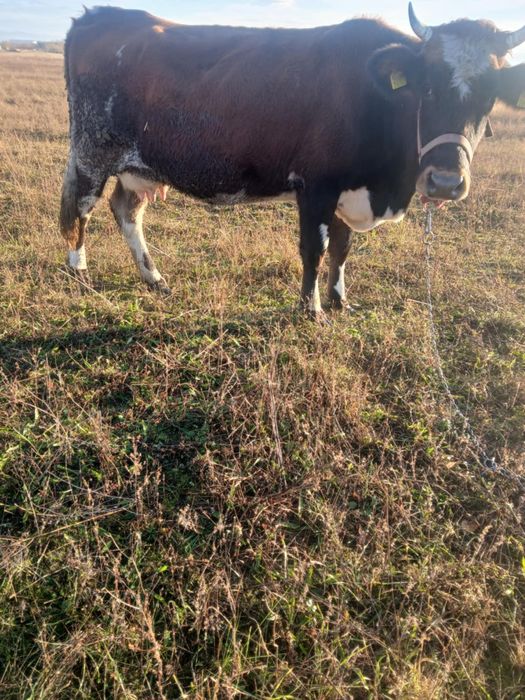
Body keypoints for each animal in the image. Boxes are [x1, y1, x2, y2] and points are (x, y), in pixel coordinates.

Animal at [60, 4, 525, 318]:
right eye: (427, 87)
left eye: (489, 98)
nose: (445, 182)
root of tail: (96, 16)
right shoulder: (317, 187)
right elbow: (315, 249)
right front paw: (311, 309)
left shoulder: (346, 191)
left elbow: (342, 248)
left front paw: (339, 300)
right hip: (92, 153)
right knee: (80, 210)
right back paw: (79, 273)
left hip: (137, 168)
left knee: (126, 211)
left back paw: (154, 278)